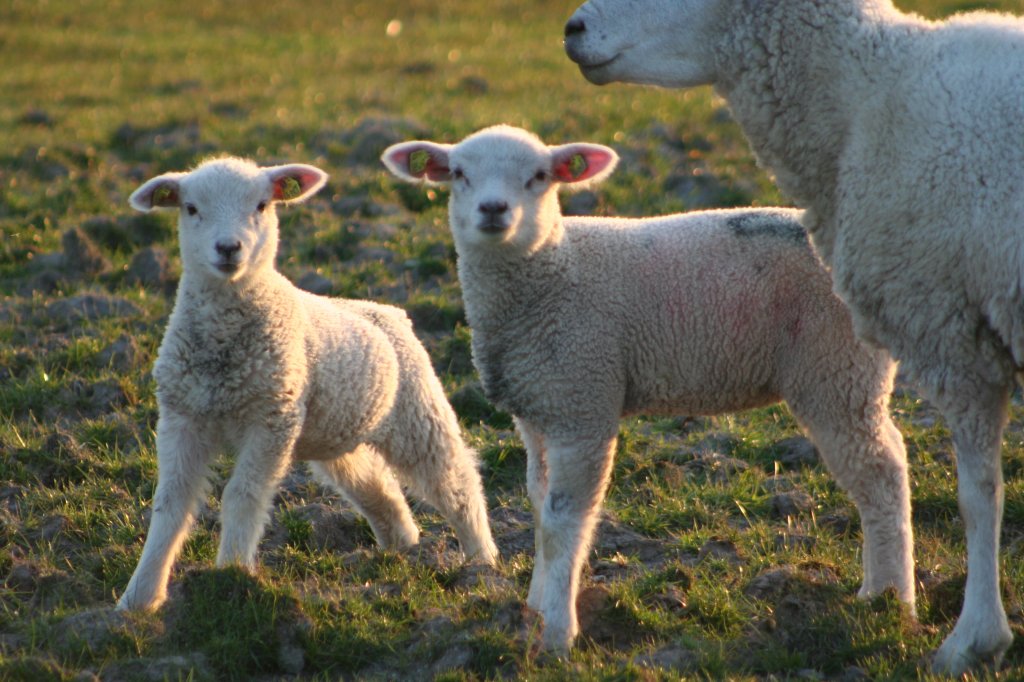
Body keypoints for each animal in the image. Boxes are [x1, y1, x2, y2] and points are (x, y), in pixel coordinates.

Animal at [117, 155, 499, 610]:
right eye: (190, 208)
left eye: (262, 205)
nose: (228, 248)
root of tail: (389, 312)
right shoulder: (181, 417)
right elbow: (170, 504)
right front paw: (138, 599)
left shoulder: (273, 420)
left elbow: (242, 495)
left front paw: (230, 576)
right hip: (338, 436)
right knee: (378, 486)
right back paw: (402, 548)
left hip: (417, 414)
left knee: (457, 481)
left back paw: (483, 562)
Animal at [382, 127, 913, 655]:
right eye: (458, 174)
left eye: (538, 177)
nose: (494, 210)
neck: (551, 271)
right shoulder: (538, 409)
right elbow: (538, 503)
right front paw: (534, 607)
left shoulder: (584, 401)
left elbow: (565, 519)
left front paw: (557, 633)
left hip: (836, 369)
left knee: (881, 473)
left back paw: (890, 599)